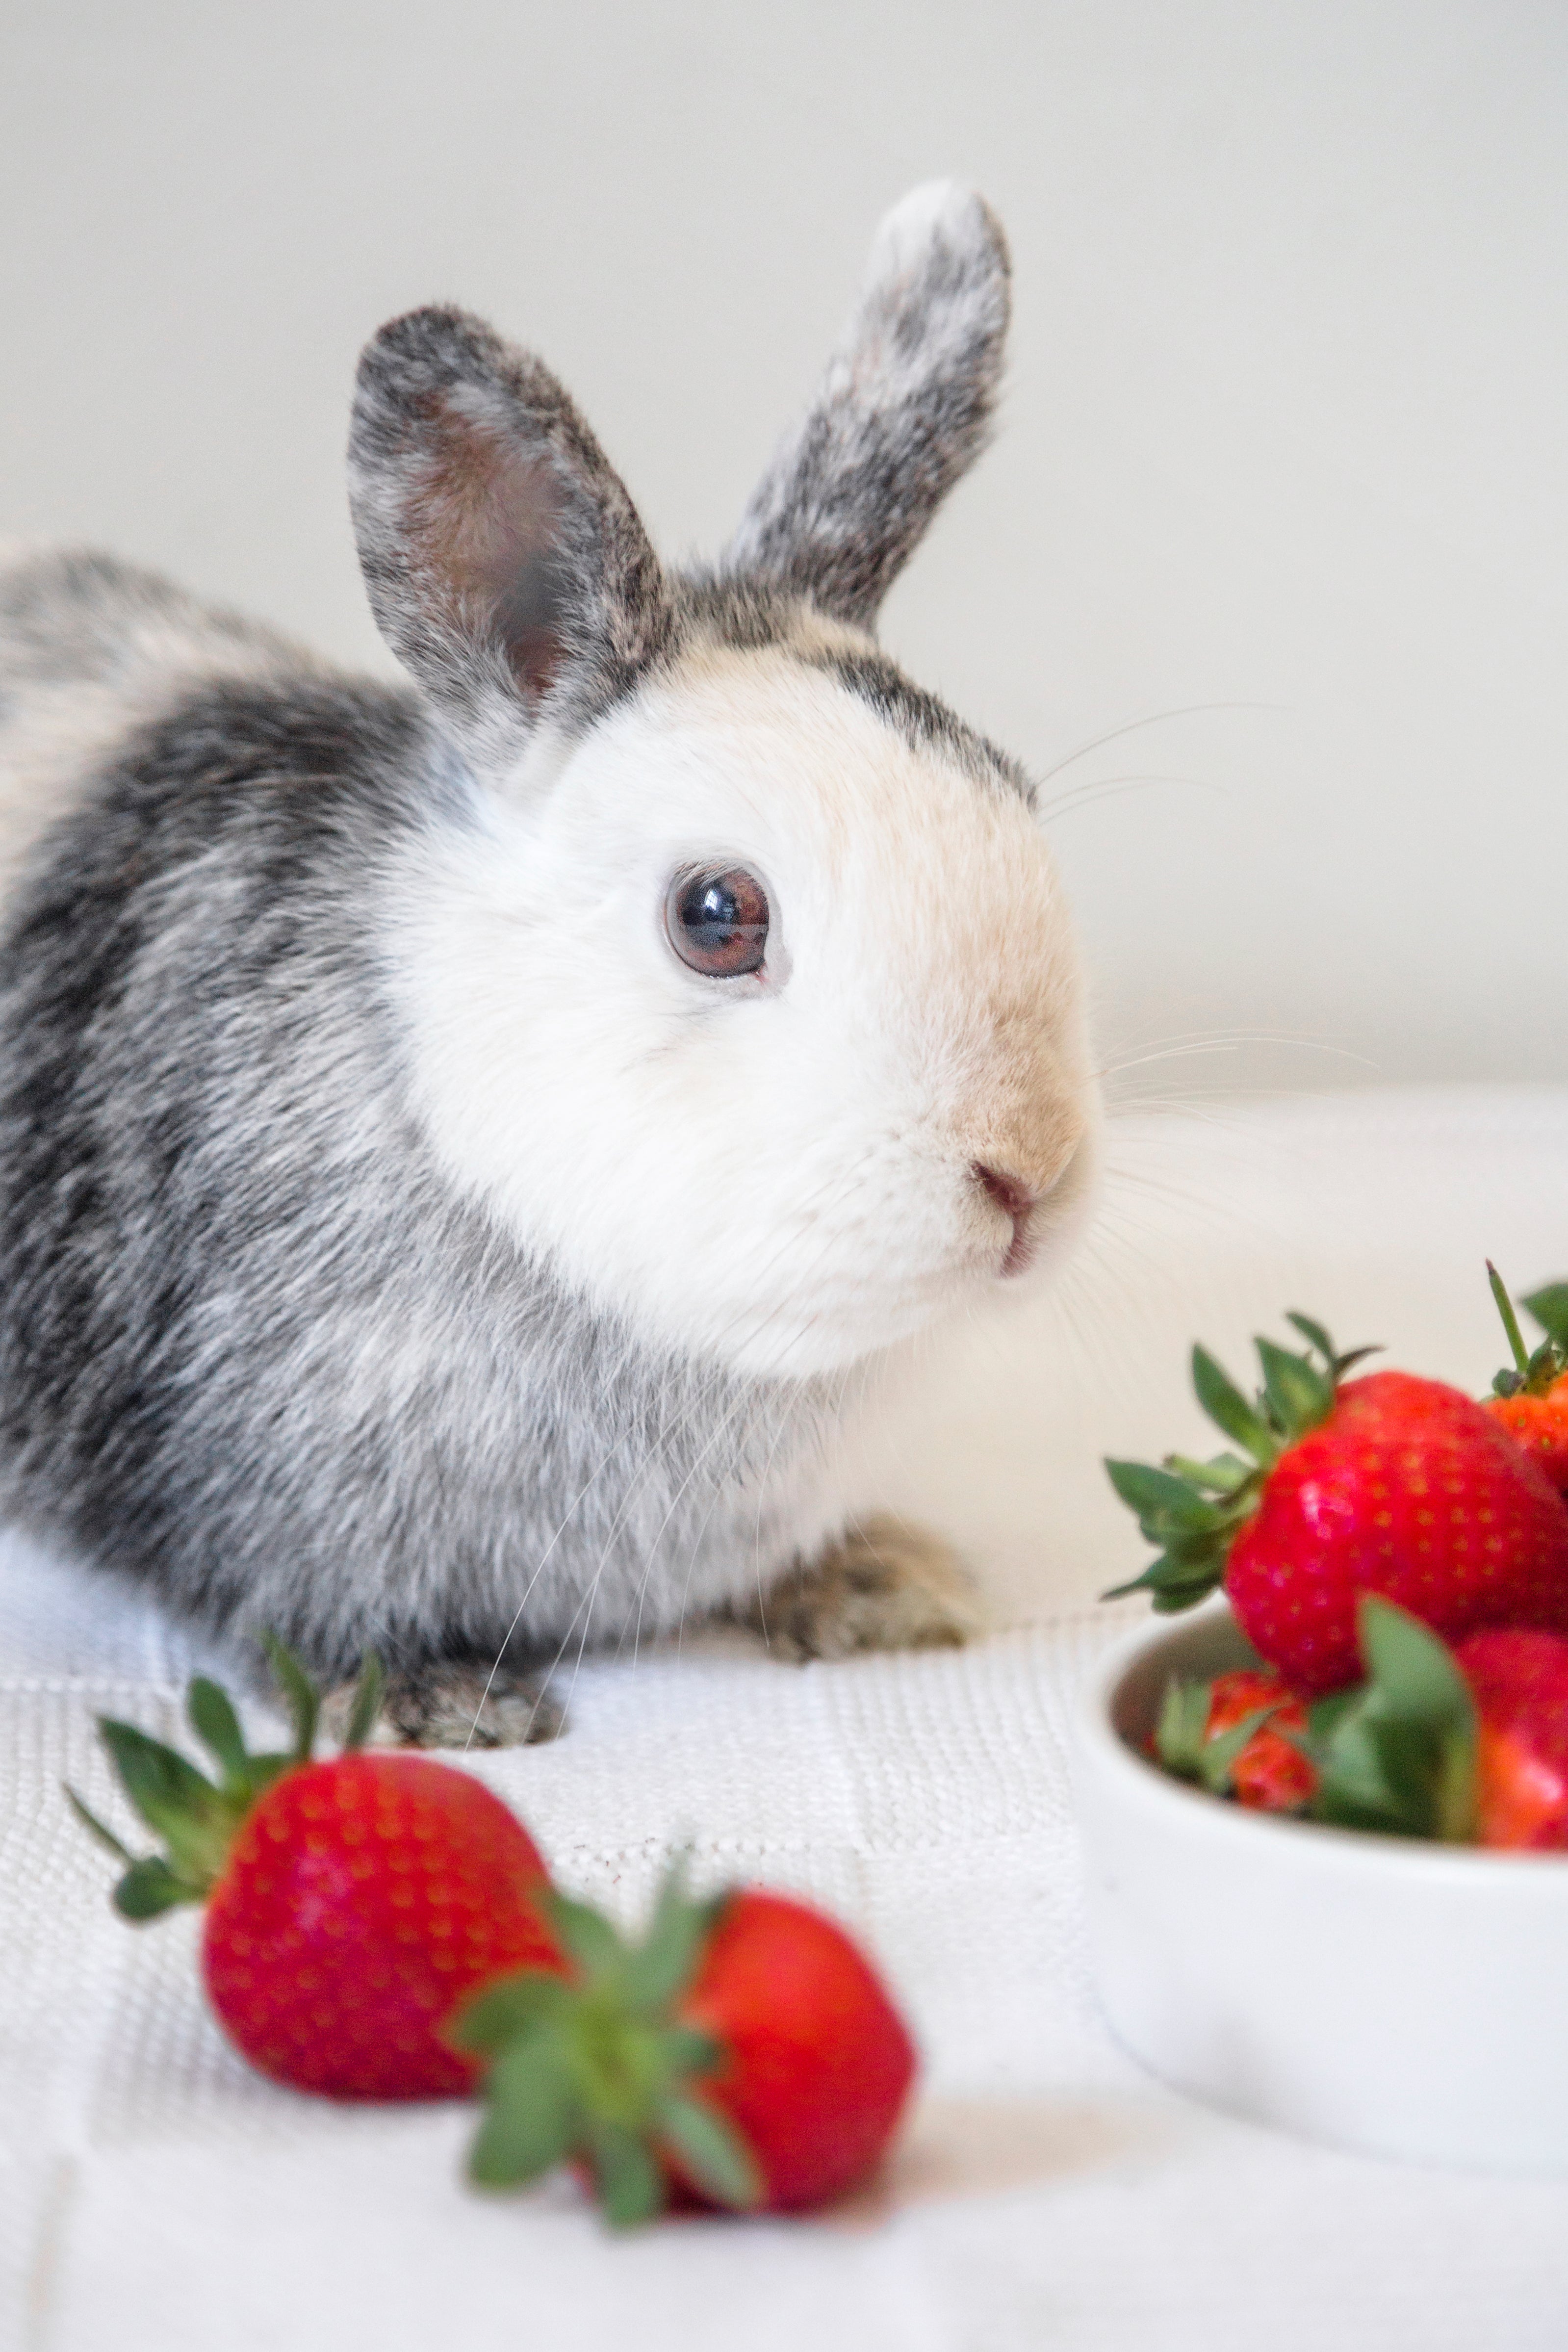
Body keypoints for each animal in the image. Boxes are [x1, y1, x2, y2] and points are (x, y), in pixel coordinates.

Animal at [0, 181, 1096, 1745]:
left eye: (1011, 789)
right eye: (716, 915)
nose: (1027, 1174)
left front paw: (881, 1587)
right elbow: (303, 1622)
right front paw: (449, 1710)